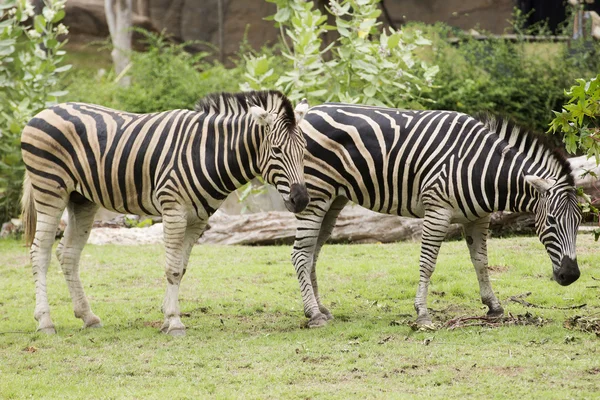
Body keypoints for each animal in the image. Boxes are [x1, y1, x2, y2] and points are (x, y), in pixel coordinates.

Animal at [19, 90, 310, 334]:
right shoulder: (173, 210)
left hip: (81, 199)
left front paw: (167, 314)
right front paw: (173, 321)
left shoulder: (198, 220)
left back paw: (88, 317)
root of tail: (45, 110)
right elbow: (171, 269)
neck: (207, 152)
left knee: (67, 254)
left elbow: (181, 268)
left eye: (305, 150)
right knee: (40, 252)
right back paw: (45, 321)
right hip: (50, 190)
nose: (302, 199)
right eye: (276, 150)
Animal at [292, 103, 584, 328]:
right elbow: (427, 263)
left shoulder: (479, 218)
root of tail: (309, 112)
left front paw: (493, 305)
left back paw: (320, 308)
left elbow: (481, 262)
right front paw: (422, 312)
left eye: (579, 223)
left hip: (333, 198)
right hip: (315, 194)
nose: (571, 276)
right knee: (300, 254)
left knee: (313, 251)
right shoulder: (437, 212)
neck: (483, 168)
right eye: (551, 221)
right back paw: (314, 314)